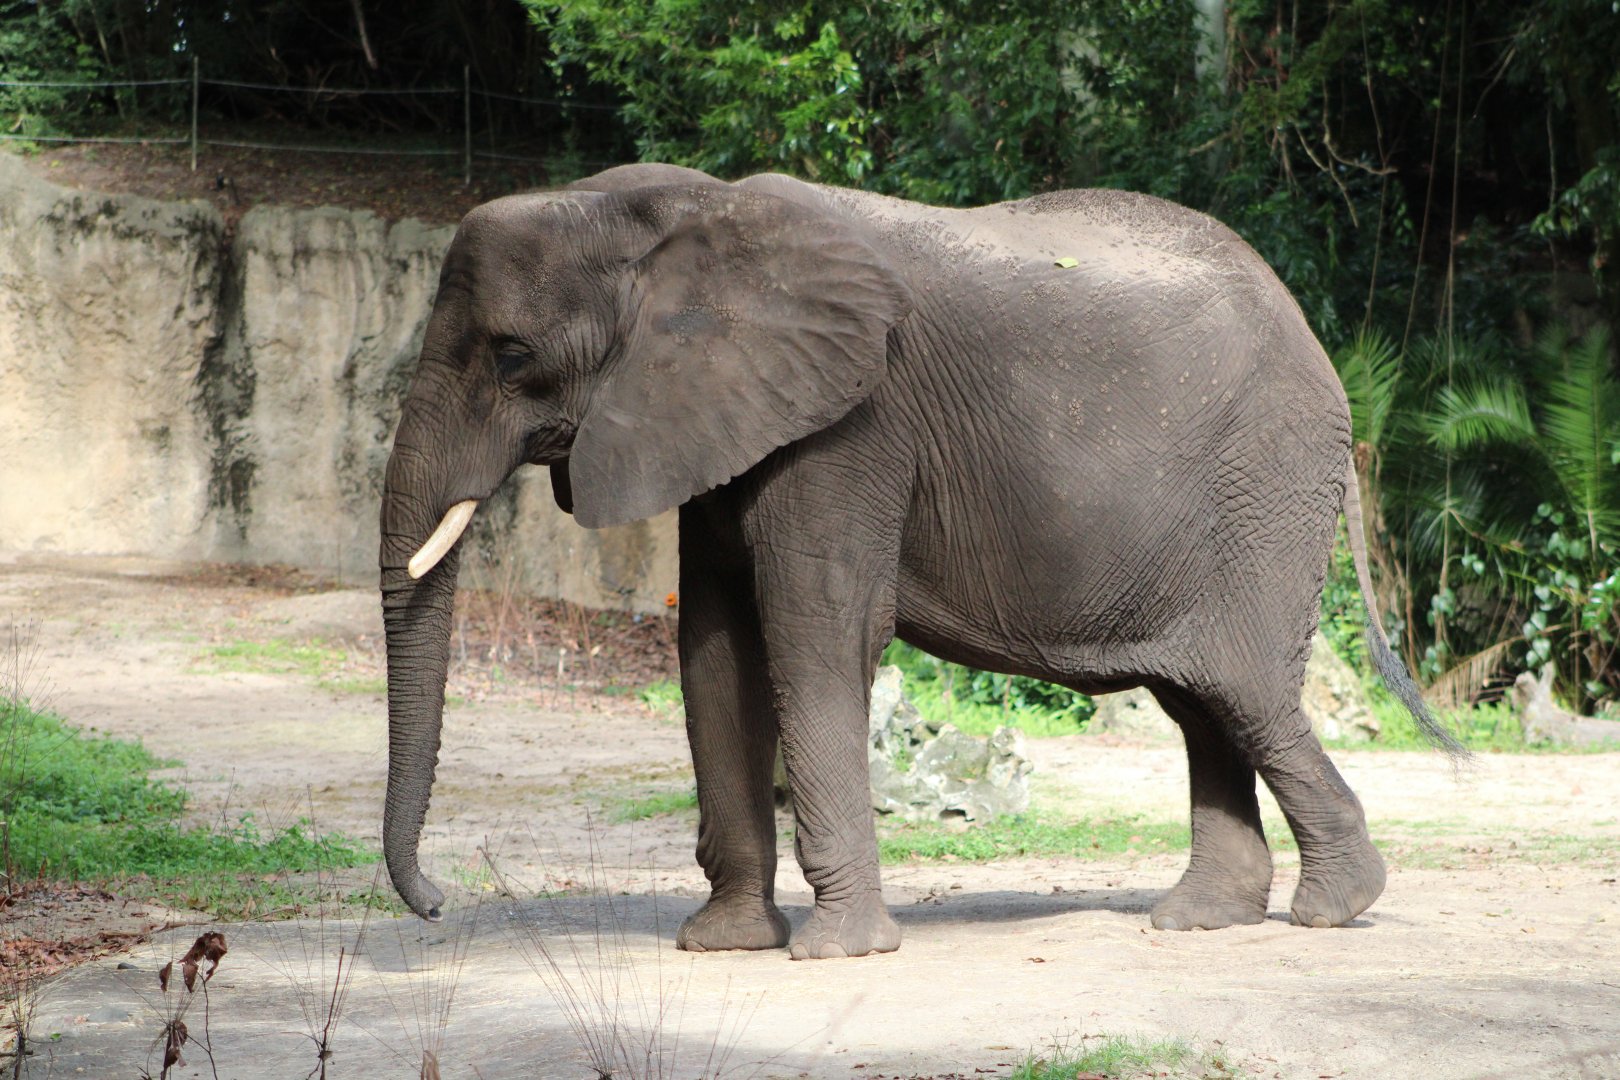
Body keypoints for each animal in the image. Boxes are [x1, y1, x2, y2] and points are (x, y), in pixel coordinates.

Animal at [379, 162, 1462, 960]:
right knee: (1203, 703)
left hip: (1262, 495)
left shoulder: (852, 425)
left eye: (511, 356)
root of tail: (1323, 360)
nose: (436, 903)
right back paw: (1201, 919)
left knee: (1242, 689)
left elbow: (815, 633)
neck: (680, 213)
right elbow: (716, 651)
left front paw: (837, 952)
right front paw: (725, 944)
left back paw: (1333, 908)